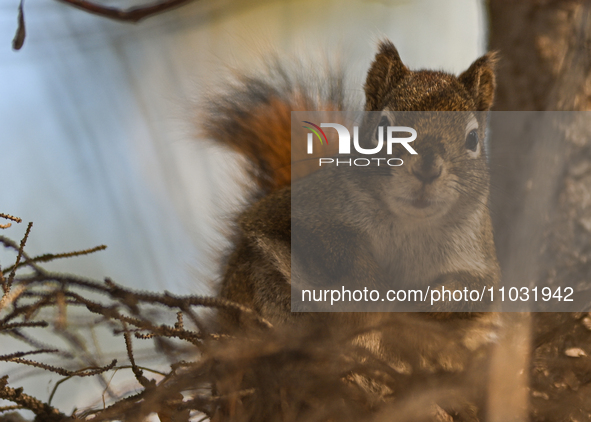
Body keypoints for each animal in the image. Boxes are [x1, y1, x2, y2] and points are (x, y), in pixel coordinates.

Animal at [201, 39, 502, 330]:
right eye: (383, 127)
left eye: (473, 138)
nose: (427, 169)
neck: (410, 225)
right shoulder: (304, 211)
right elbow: (339, 250)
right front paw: (376, 292)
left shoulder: (480, 260)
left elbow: (473, 291)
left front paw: (426, 301)